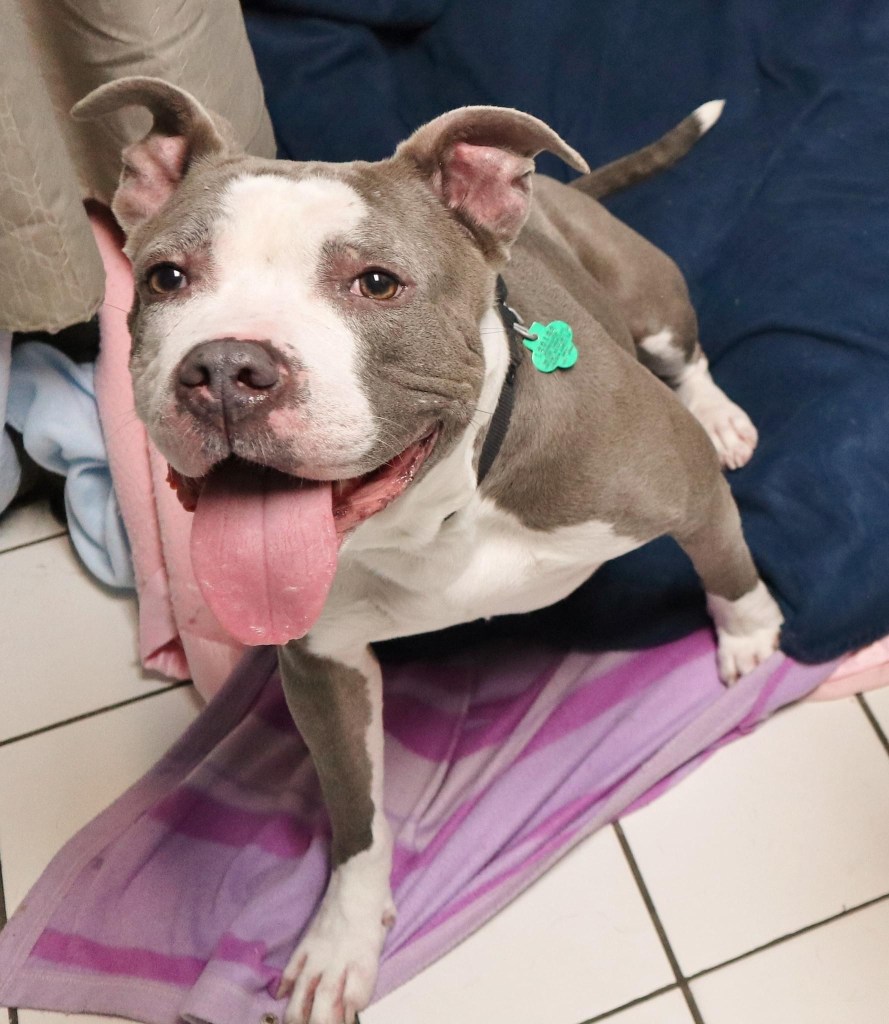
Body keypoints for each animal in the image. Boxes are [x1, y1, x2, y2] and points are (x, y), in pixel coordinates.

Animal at [75, 77, 783, 1024]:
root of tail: (556, 196)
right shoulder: (323, 668)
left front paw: (750, 637)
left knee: (689, 356)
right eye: (166, 278)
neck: (438, 512)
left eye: (376, 283)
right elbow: (357, 815)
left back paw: (720, 415)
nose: (224, 368)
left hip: (649, 301)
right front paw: (341, 940)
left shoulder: (682, 484)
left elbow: (726, 567)